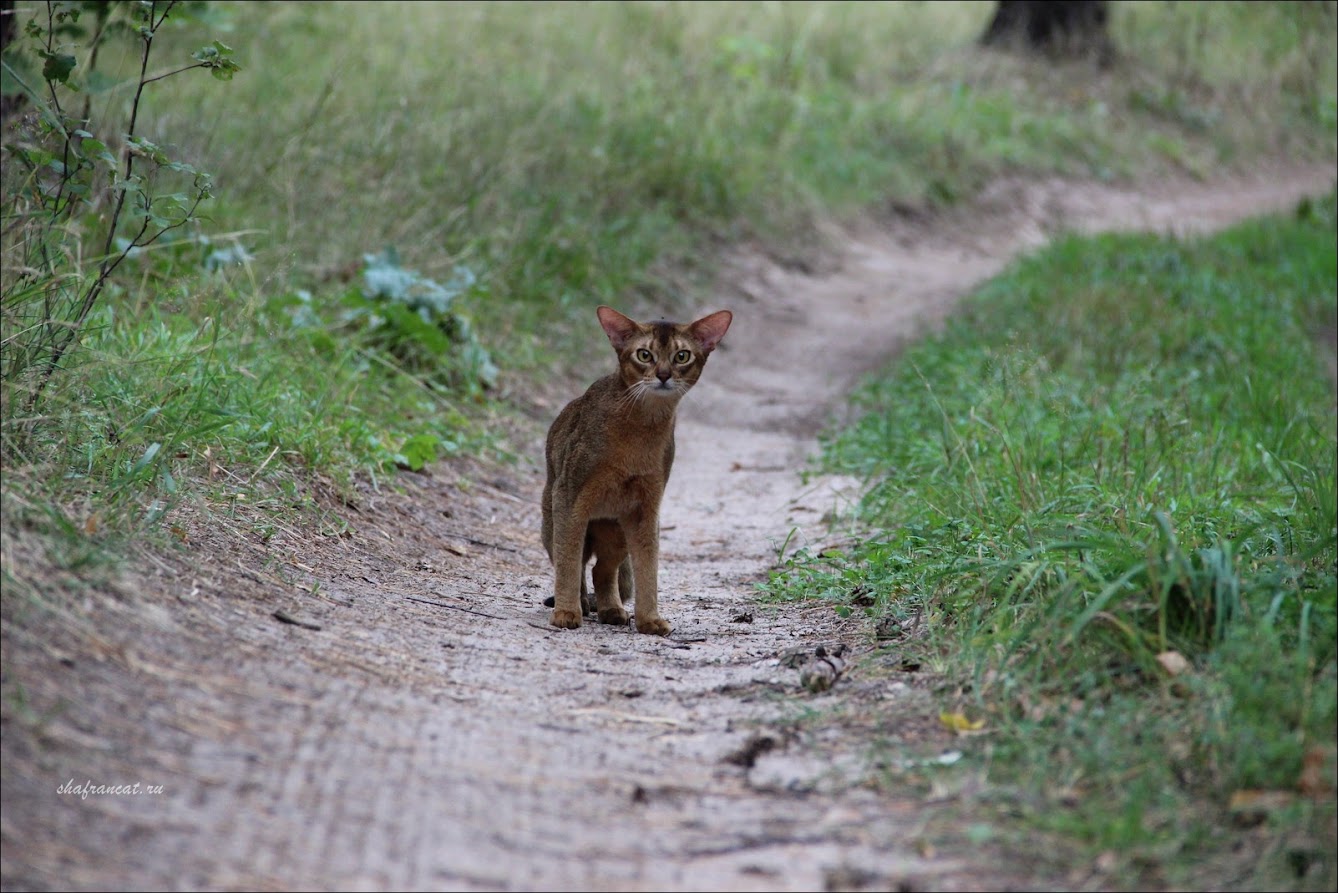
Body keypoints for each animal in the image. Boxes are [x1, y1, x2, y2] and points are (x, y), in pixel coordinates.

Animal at [540, 305, 733, 634]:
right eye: (644, 355)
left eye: (682, 356)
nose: (664, 375)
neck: (641, 428)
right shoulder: (569, 495)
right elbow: (569, 561)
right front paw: (566, 613)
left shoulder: (645, 506)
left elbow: (648, 565)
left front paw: (650, 620)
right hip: (552, 518)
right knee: (578, 563)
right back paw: (582, 604)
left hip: (616, 528)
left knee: (602, 571)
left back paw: (612, 609)